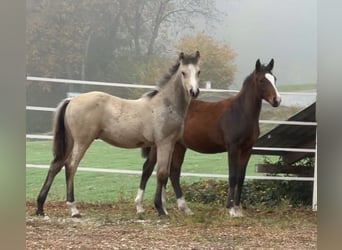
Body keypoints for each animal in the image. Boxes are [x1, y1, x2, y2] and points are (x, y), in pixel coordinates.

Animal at [35, 50, 200, 217]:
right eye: (183, 72)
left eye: (198, 72)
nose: (194, 92)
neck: (165, 105)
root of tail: (71, 100)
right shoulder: (163, 143)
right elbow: (162, 174)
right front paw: (160, 209)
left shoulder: (166, 144)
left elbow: (158, 173)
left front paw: (159, 208)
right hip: (82, 142)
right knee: (70, 166)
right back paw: (73, 208)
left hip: (70, 141)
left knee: (56, 165)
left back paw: (40, 208)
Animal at [134, 58, 280, 217]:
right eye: (261, 80)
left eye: (274, 79)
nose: (277, 100)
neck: (240, 112)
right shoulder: (233, 148)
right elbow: (232, 176)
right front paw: (231, 209)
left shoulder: (247, 149)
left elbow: (241, 178)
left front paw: (238, 209)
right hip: (160, 146)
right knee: (148, 169)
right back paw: (140, 207)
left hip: (178, 146)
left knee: (173, 172)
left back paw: (181, 208)